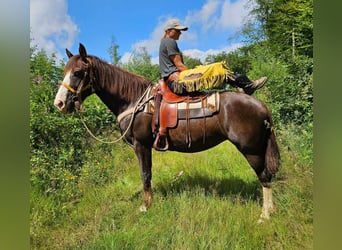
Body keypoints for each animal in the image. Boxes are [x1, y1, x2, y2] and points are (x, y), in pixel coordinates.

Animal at [52, 44, 280, 222]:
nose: (60, 103)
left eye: (78, 72)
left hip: (251, 150)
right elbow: (148, 174)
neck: (133, 101)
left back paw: (265, 215)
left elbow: (145, 174)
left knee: (264, 177)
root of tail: (260, 105)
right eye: (65, 72)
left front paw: (145, 206)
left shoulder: (141, 145)